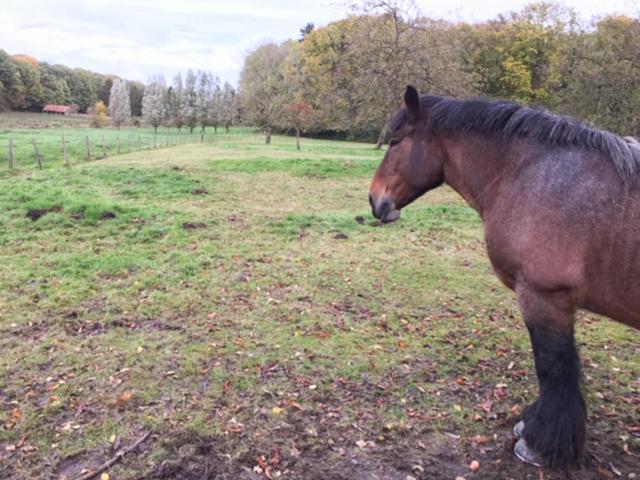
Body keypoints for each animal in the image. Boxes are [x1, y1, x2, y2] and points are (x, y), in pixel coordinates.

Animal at [370, 86, 640, 468]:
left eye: (395, 141)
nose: (374, 199)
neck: (529, 174)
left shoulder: (544, 298)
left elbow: (553, 368)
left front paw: (540, 443)